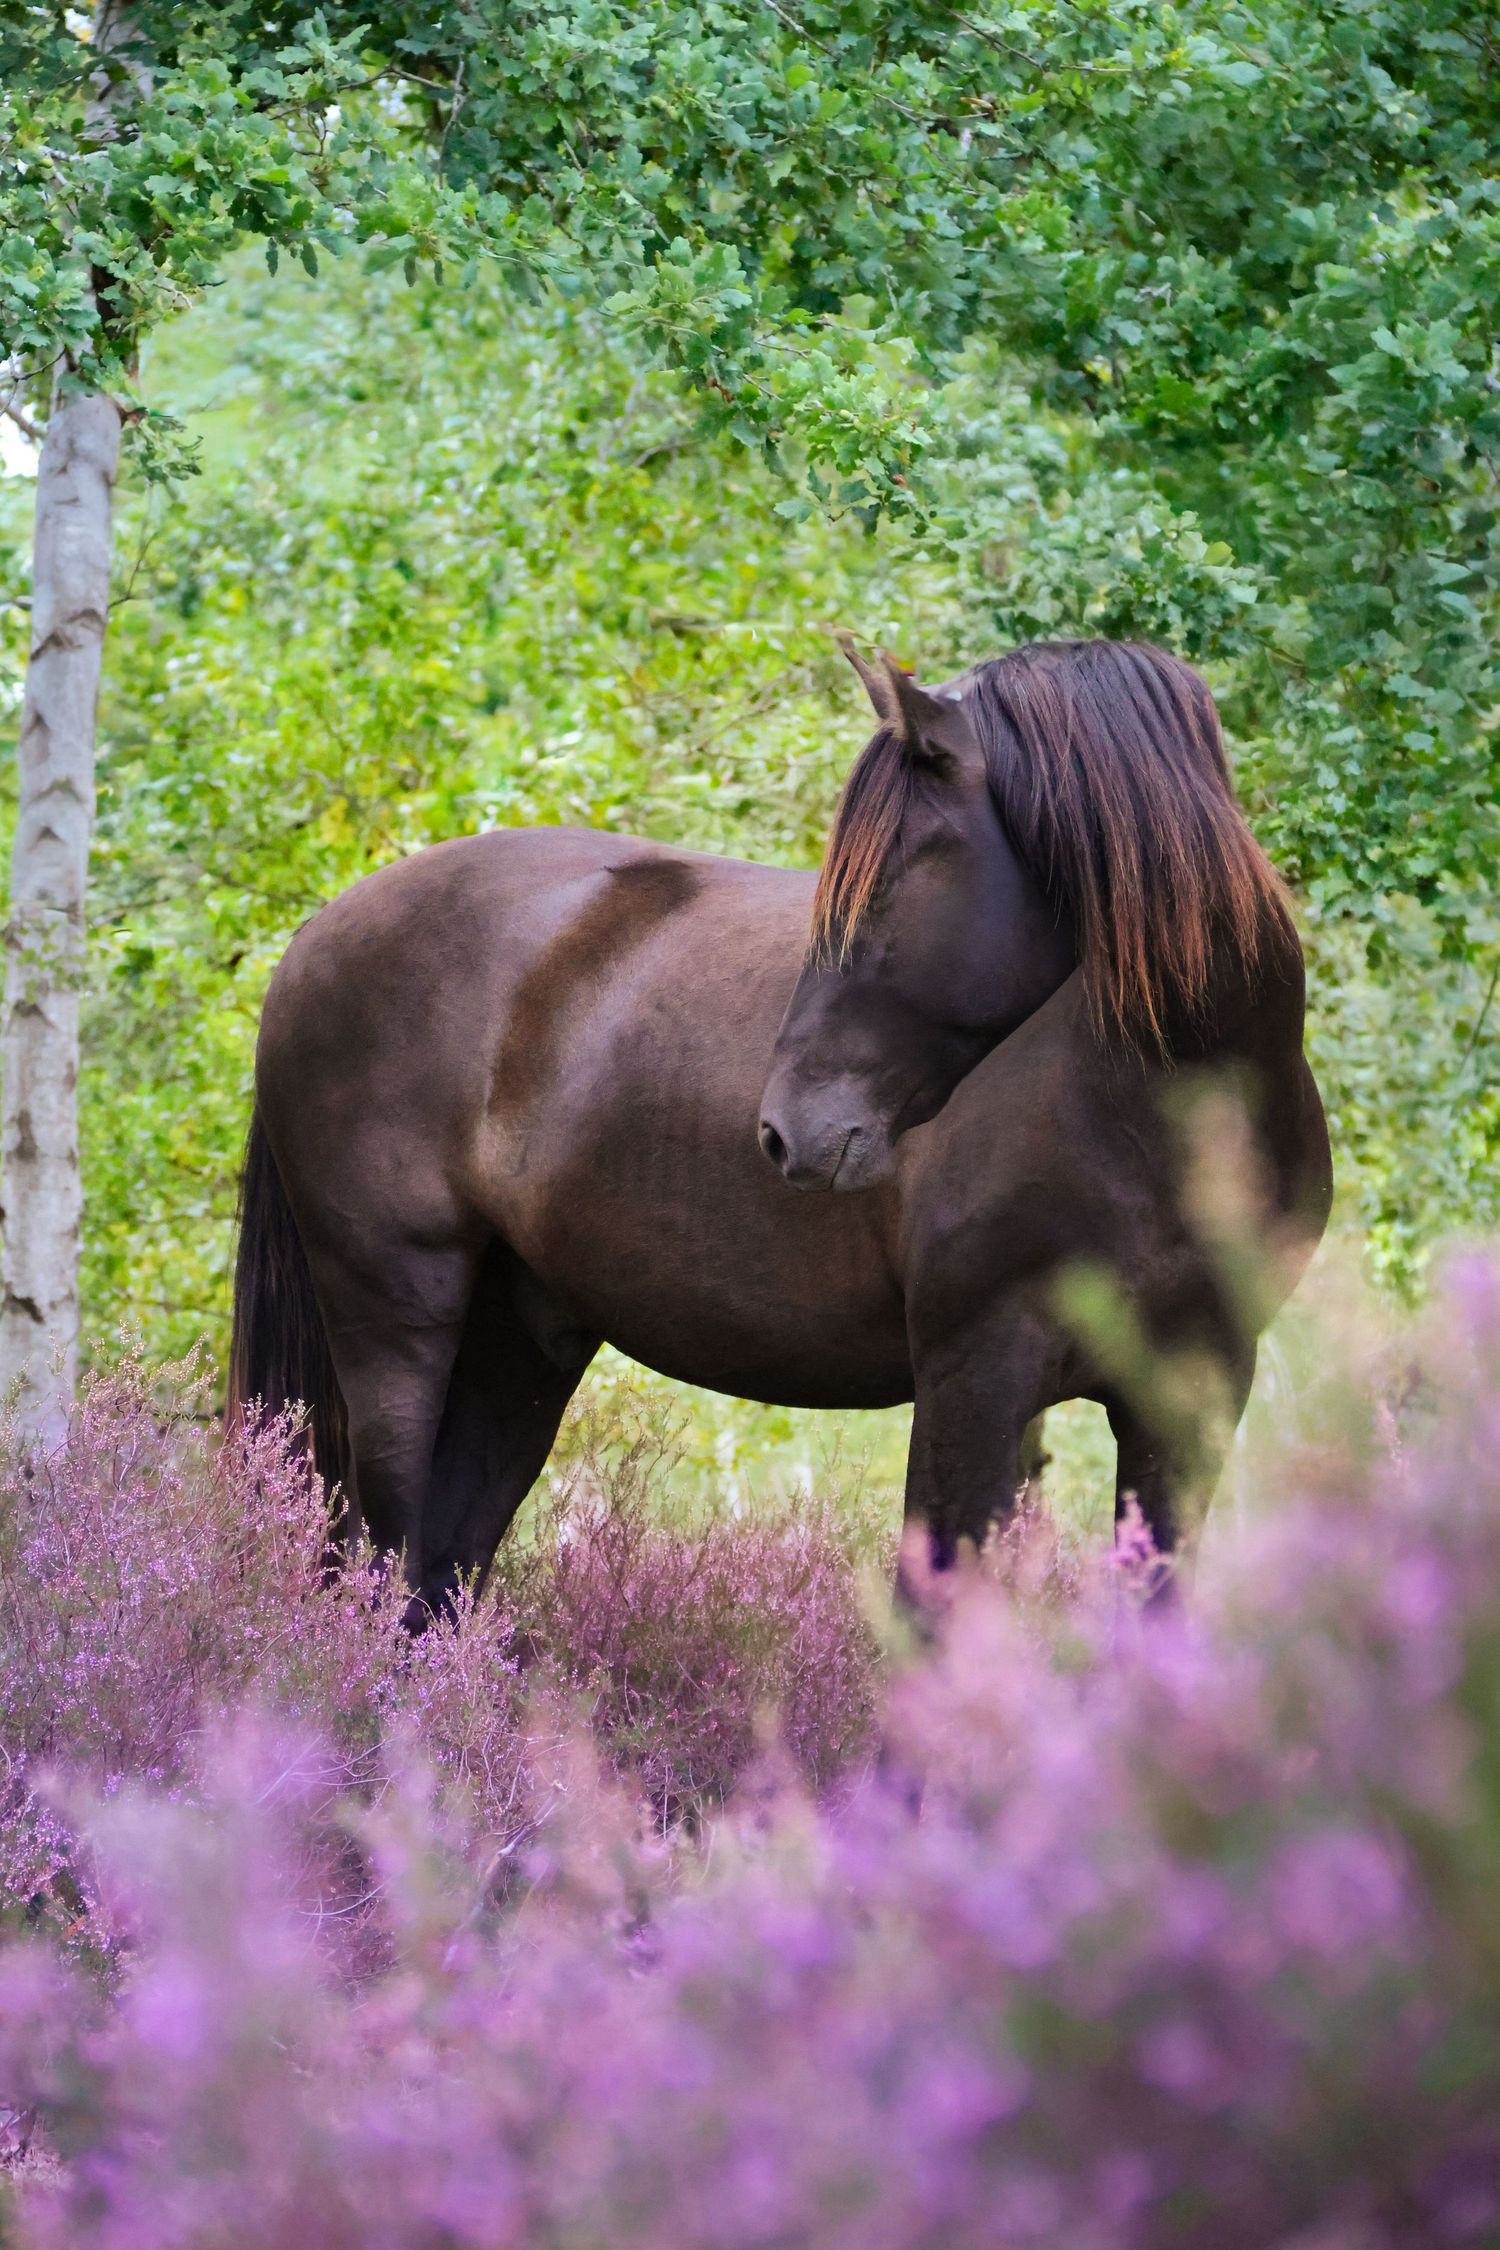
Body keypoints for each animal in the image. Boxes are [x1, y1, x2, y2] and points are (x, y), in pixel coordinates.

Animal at [230, 636, 1331, 1624]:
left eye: (889, 880)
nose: (788, 1131)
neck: (1160, 1117)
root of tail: (317, 933)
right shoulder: (975, 1383)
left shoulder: (1191, 1398)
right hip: (397, 1324)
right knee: (384, 1557)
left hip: (519, 1339)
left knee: (436, 1577)